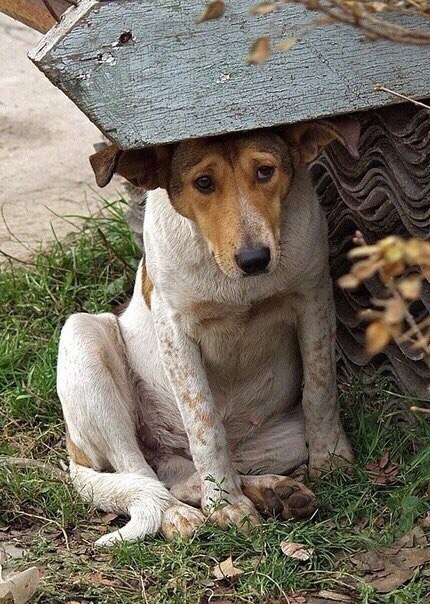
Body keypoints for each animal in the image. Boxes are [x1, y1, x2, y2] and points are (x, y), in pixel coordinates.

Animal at [57, 119, 358, 545]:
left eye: (265, 171)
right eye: (203, 183)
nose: (254, 259)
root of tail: (74, 453)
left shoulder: (314, 297)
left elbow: (321, 390)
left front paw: (331, 459)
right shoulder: (175, 330)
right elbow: (204, 425)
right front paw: (226, 506)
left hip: (280, 442)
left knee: (185, 474)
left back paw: (272, 492)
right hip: (82, 338)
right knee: (141, 471)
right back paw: (181, 514)